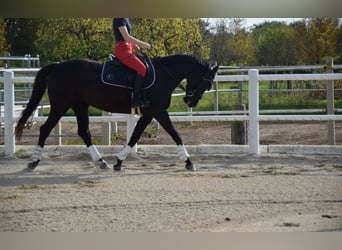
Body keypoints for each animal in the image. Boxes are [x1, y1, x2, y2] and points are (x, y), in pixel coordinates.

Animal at [14, 54, 218, 172]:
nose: (190, 101)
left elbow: (135, 136)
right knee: (45, 129)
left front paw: (119, 161)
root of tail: (57, 66)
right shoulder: (158, 111)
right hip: (60, 105)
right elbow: (175, 134)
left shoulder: (149, 113)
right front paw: (189, 161)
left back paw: (101, 161)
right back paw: (34, 161)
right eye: (206, 82)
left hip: (79, 105)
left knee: (84, 132)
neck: (163, 74)